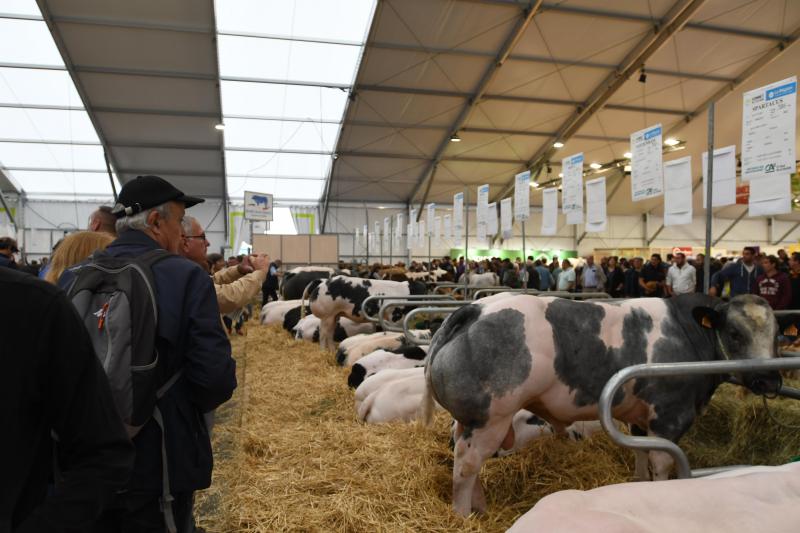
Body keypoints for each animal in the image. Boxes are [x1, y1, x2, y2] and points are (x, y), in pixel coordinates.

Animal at [422, 290, 784, 516]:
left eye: (778, 333)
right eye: (735, 333)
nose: (771, 380)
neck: (687, 336)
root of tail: (475, 309)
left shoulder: (639, 416)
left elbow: (640, 456)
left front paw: (637, 484)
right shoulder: (668, 417)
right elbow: (662, 464)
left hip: (469, 419)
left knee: (467, 459)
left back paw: (480, 509)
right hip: (490, 418)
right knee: (466, 467)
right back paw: (463, 516)